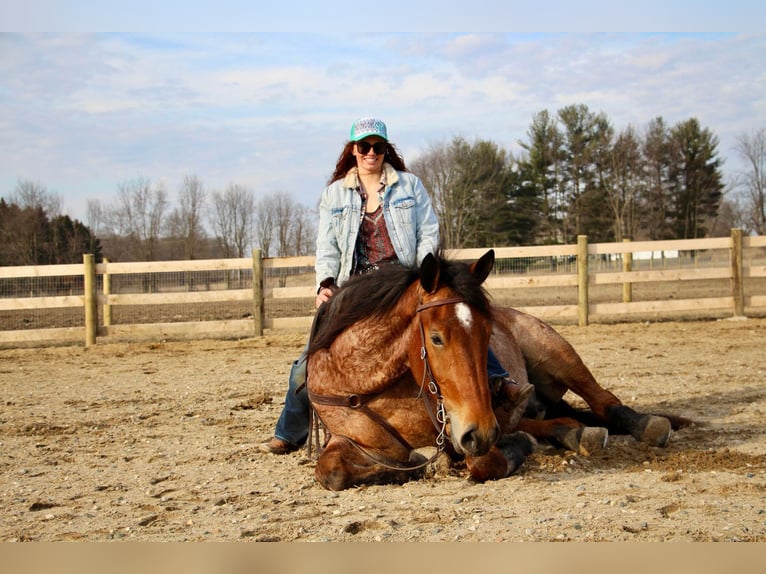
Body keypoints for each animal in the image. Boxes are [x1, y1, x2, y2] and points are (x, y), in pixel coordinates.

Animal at [306, 250, 688, 492]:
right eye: (436, 337)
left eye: (488, 332)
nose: (482, 431)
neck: (367, 385)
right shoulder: (349, 439)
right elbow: (331, 472)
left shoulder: (463, 432)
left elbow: (484, 463)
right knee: (556, 420)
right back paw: (573, 432)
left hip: (557, 353)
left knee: (604, 401)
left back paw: (646, 425)